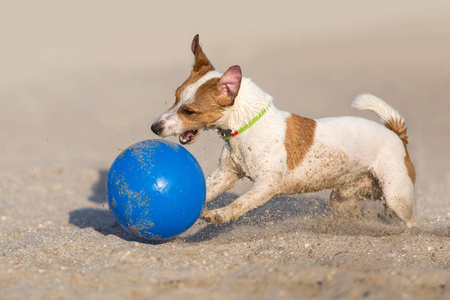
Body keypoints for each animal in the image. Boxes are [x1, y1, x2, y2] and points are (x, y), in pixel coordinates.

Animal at [151, 34, 414, 227]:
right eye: (175, 98)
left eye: (189, 112)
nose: (154, 127)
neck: (247, 126)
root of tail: (397, 135)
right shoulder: (226, 174)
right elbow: (207, 188)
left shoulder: (267, 184)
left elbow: (242, 202)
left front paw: (220, 214)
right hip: (342, 199)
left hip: (396, 196)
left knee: (409, 221)